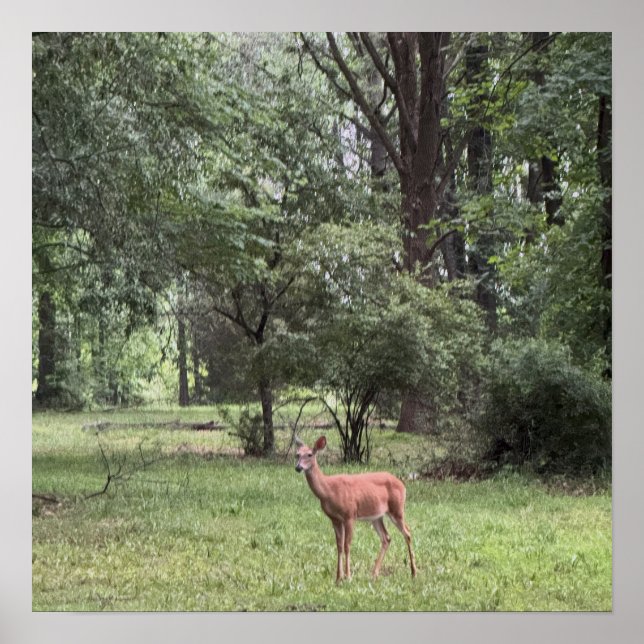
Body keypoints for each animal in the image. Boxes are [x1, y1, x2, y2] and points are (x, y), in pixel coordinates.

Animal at [294, 435, 417, 583]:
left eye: (309, 454)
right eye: (297, 454)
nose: (298, 467)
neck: (329, 491)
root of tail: (403, 485)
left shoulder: (350, 515)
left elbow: (347, 545)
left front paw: (348, 576)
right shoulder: (335, 519)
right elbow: (339, 546)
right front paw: (338, 578)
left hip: (397, 509)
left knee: (407, 533)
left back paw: (414, 572)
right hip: (377, 516)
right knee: (386, 538)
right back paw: (374, 574)